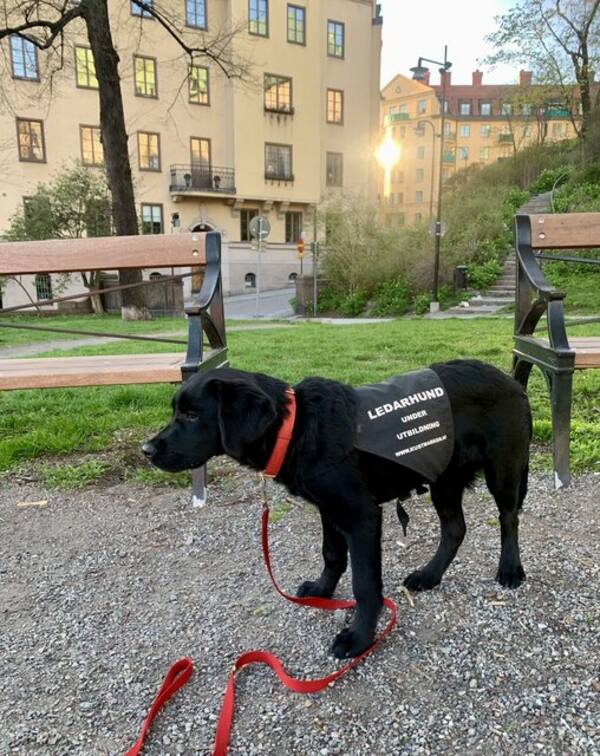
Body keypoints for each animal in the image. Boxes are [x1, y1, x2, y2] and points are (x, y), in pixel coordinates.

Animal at [144, 360, 528, 656]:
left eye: (192, 415)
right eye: (177, 411)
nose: (146, 451)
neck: (296, 427)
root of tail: (510, 379)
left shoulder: (362, 516)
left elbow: (365, 583)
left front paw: (359, 637)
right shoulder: (328, 510)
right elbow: (331, 555)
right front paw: (322, 590)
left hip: (503, 469)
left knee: (508, 518)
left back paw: (510, 570)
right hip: (443, 477)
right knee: (455, 528)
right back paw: (429, 576)